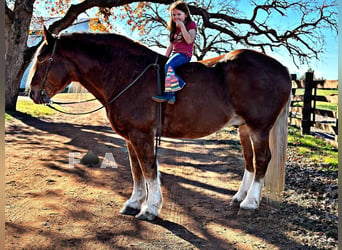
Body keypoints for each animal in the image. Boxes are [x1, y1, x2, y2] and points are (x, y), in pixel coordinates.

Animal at [28, 27, 292, 221]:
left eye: (42, 58)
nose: (32, 93)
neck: (126, 74)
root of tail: (282, 69)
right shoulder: (131, 137)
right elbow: (136, 171)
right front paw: (134, 203)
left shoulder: (142, 135)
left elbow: (148, 169)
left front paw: (150, 208)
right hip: (244, 129)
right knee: (249, 162)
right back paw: (239, 197)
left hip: (259, 128)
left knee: (262, 160)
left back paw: (250, 203)